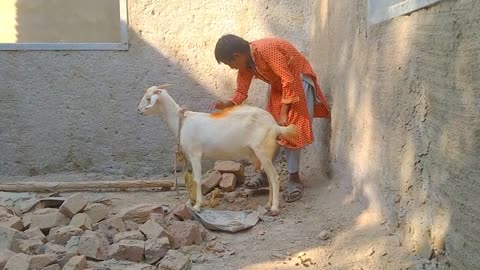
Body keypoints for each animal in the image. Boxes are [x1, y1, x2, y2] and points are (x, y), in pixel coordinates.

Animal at [138, 85, 296, 215]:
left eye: (148, 98)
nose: (139, 110)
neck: (182, 122)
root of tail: (276, 126)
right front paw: (191, 202)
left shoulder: (195, 154)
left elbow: (197, 179)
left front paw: (197, 206)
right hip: (266, 154)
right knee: (270, 178)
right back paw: (268, 204)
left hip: (262, 151)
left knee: (275, 178)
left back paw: (274, 208)